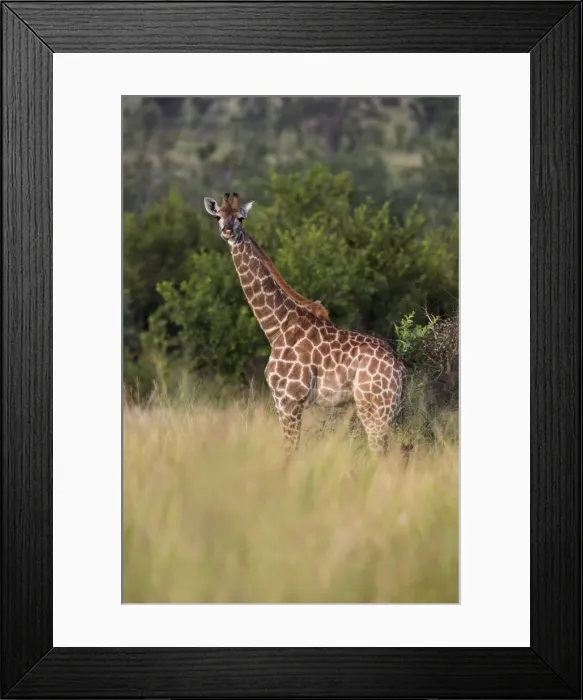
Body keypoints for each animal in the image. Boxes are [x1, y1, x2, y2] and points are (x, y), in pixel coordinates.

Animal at [203, 192, 406, 456]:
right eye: (218, 216)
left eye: (240, 218)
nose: (227, 231)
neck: (277, 328)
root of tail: (400, 369)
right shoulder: (282, 402)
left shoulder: (289, 399)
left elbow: (291, 451)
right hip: (388, 410)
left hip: (373, 409)